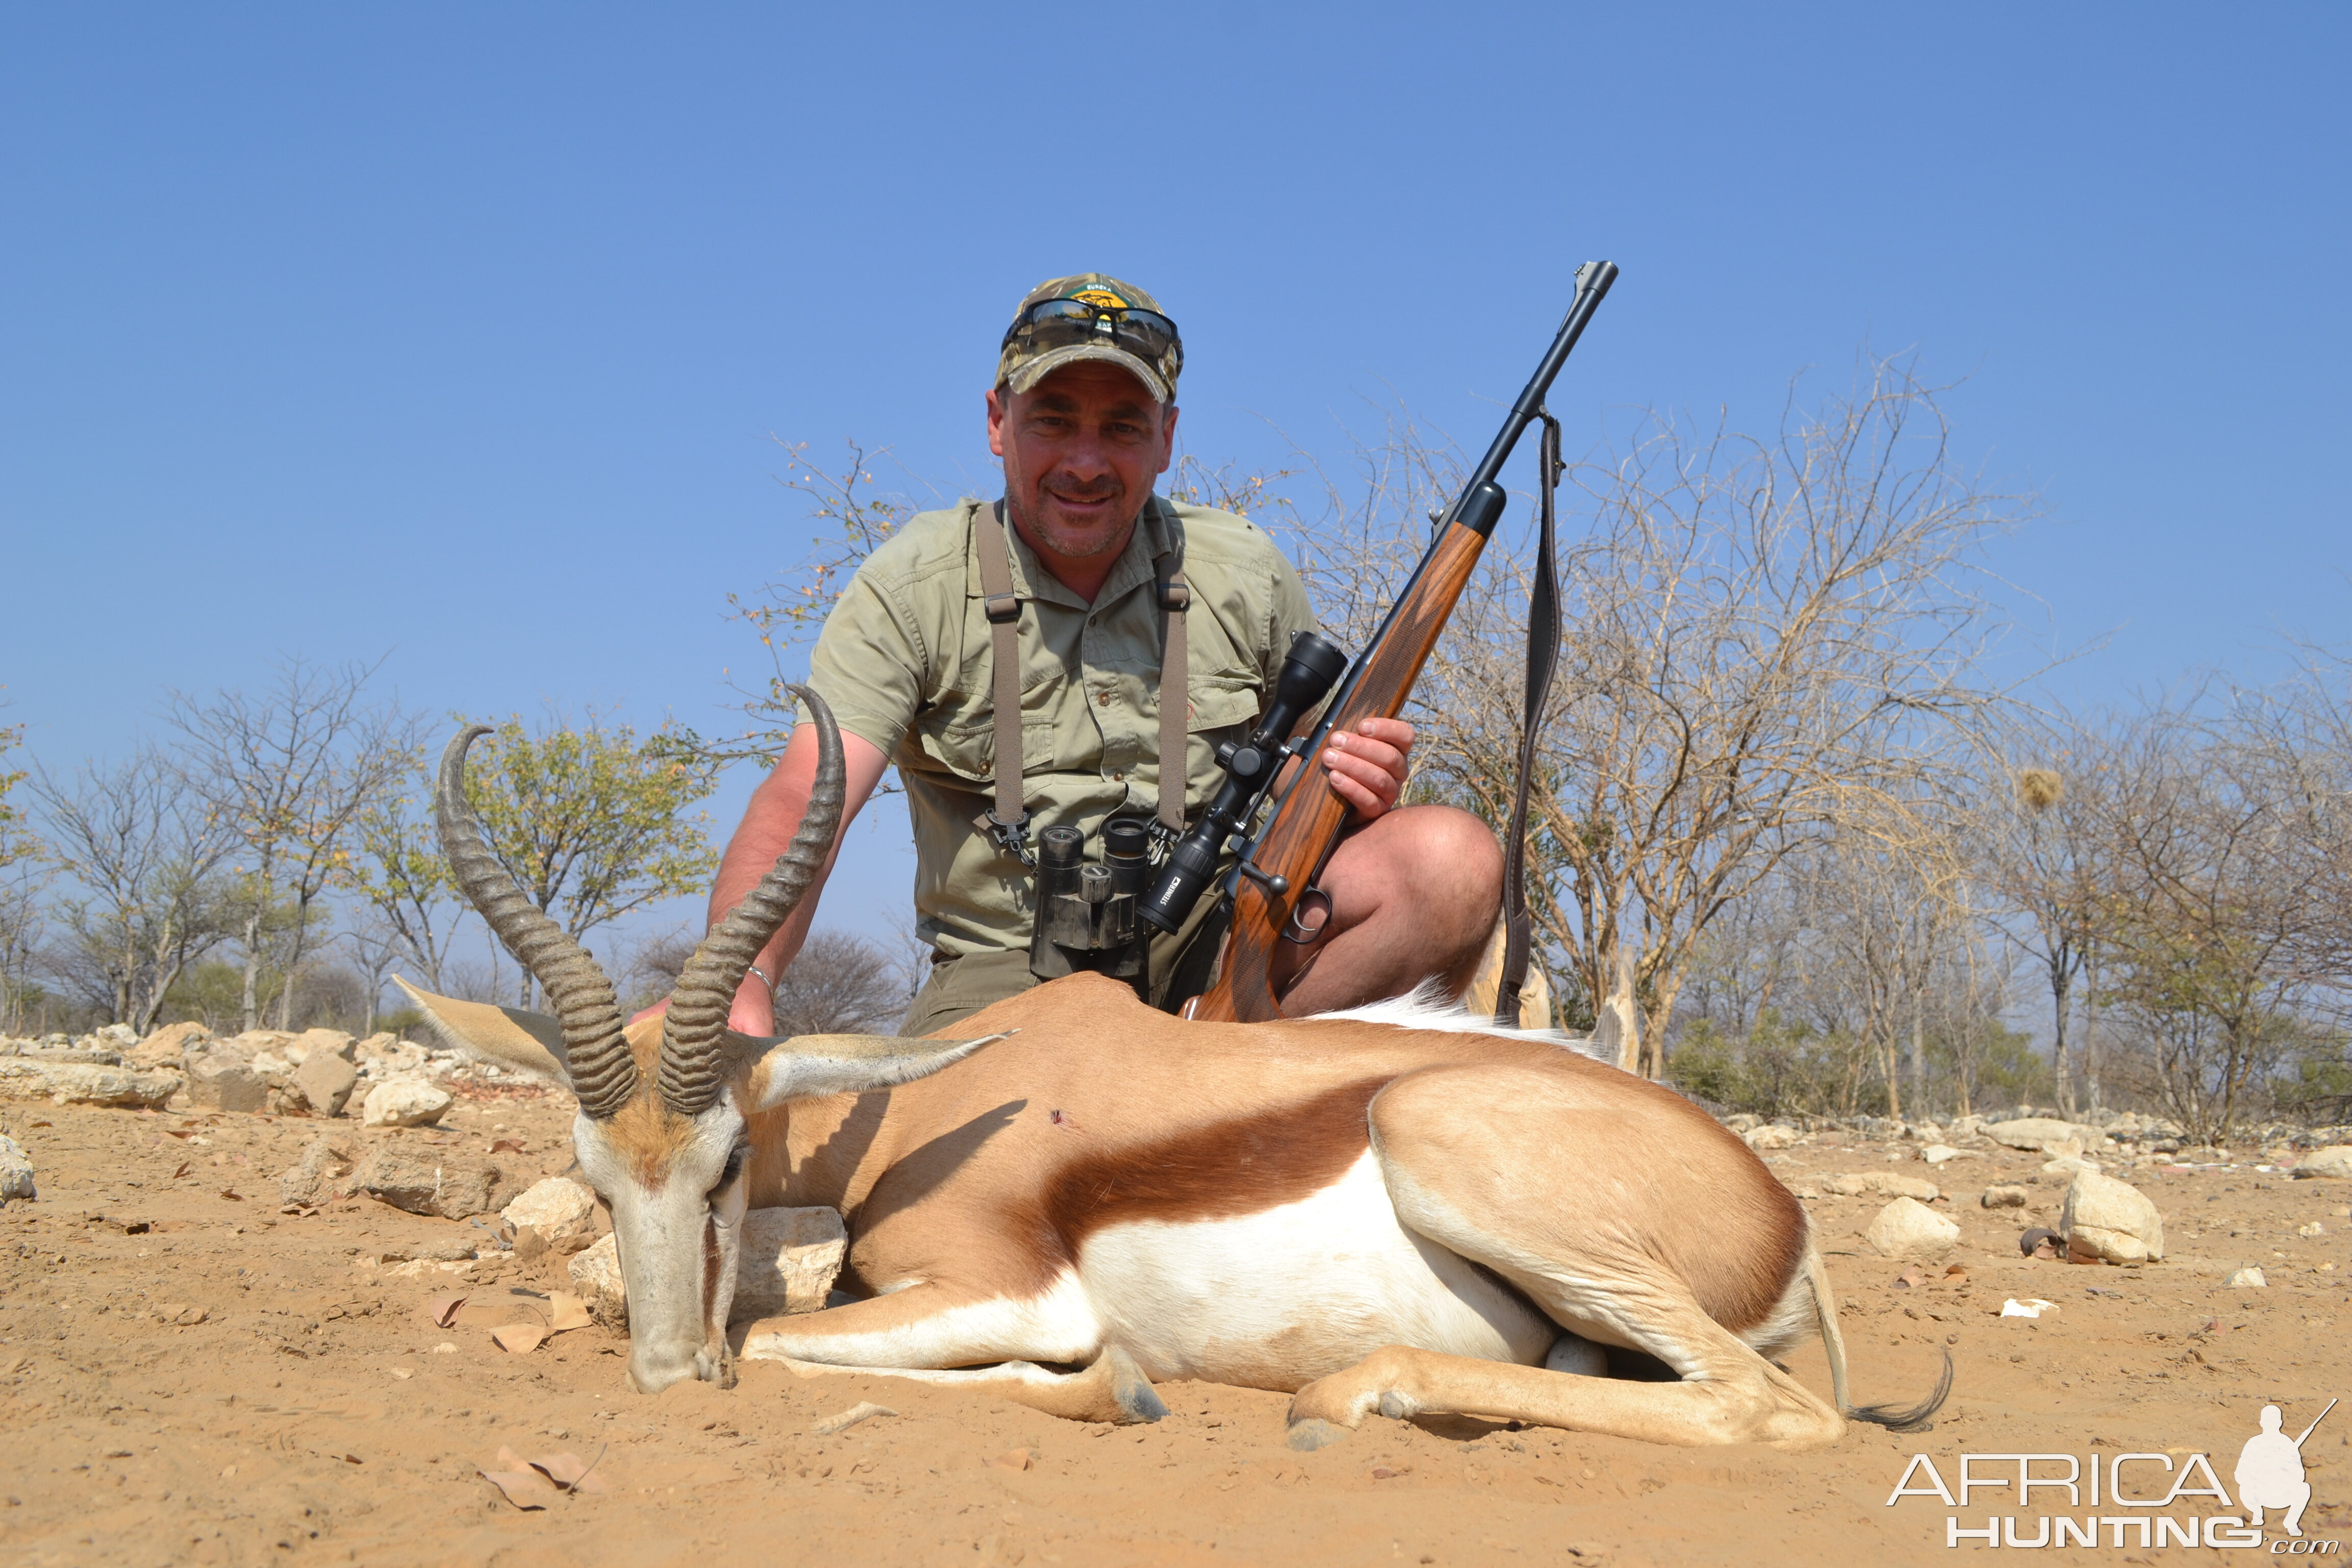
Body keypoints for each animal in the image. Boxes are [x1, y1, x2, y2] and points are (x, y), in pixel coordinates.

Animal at [400, 691, 1947, 1457]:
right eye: (594, 1176)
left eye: (725, 1166)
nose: (663, 1371)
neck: (929, 1106)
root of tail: (1783, 1216)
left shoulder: (1014, 1289)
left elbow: (784, 1344)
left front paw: (1121, 1388)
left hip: (1453, 1149)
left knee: (1771, 1409)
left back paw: (1347, 1397)